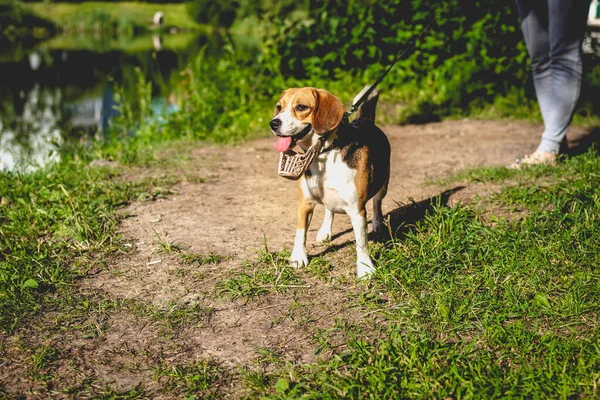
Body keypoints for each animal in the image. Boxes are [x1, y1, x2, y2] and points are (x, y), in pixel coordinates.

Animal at [270, 86, 392, 276]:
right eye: (279, 107)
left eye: (301, 107)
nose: (273, 123)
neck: (324, 152)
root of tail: (364, 121)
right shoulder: (305, 203)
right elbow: (300, 232)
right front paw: (298, 256)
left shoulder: (357, 210)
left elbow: (361, 242)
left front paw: (365, 268)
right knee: (329, 210)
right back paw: (325, 232)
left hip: (383, 183)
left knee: (377, 202)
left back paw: (377, 223)